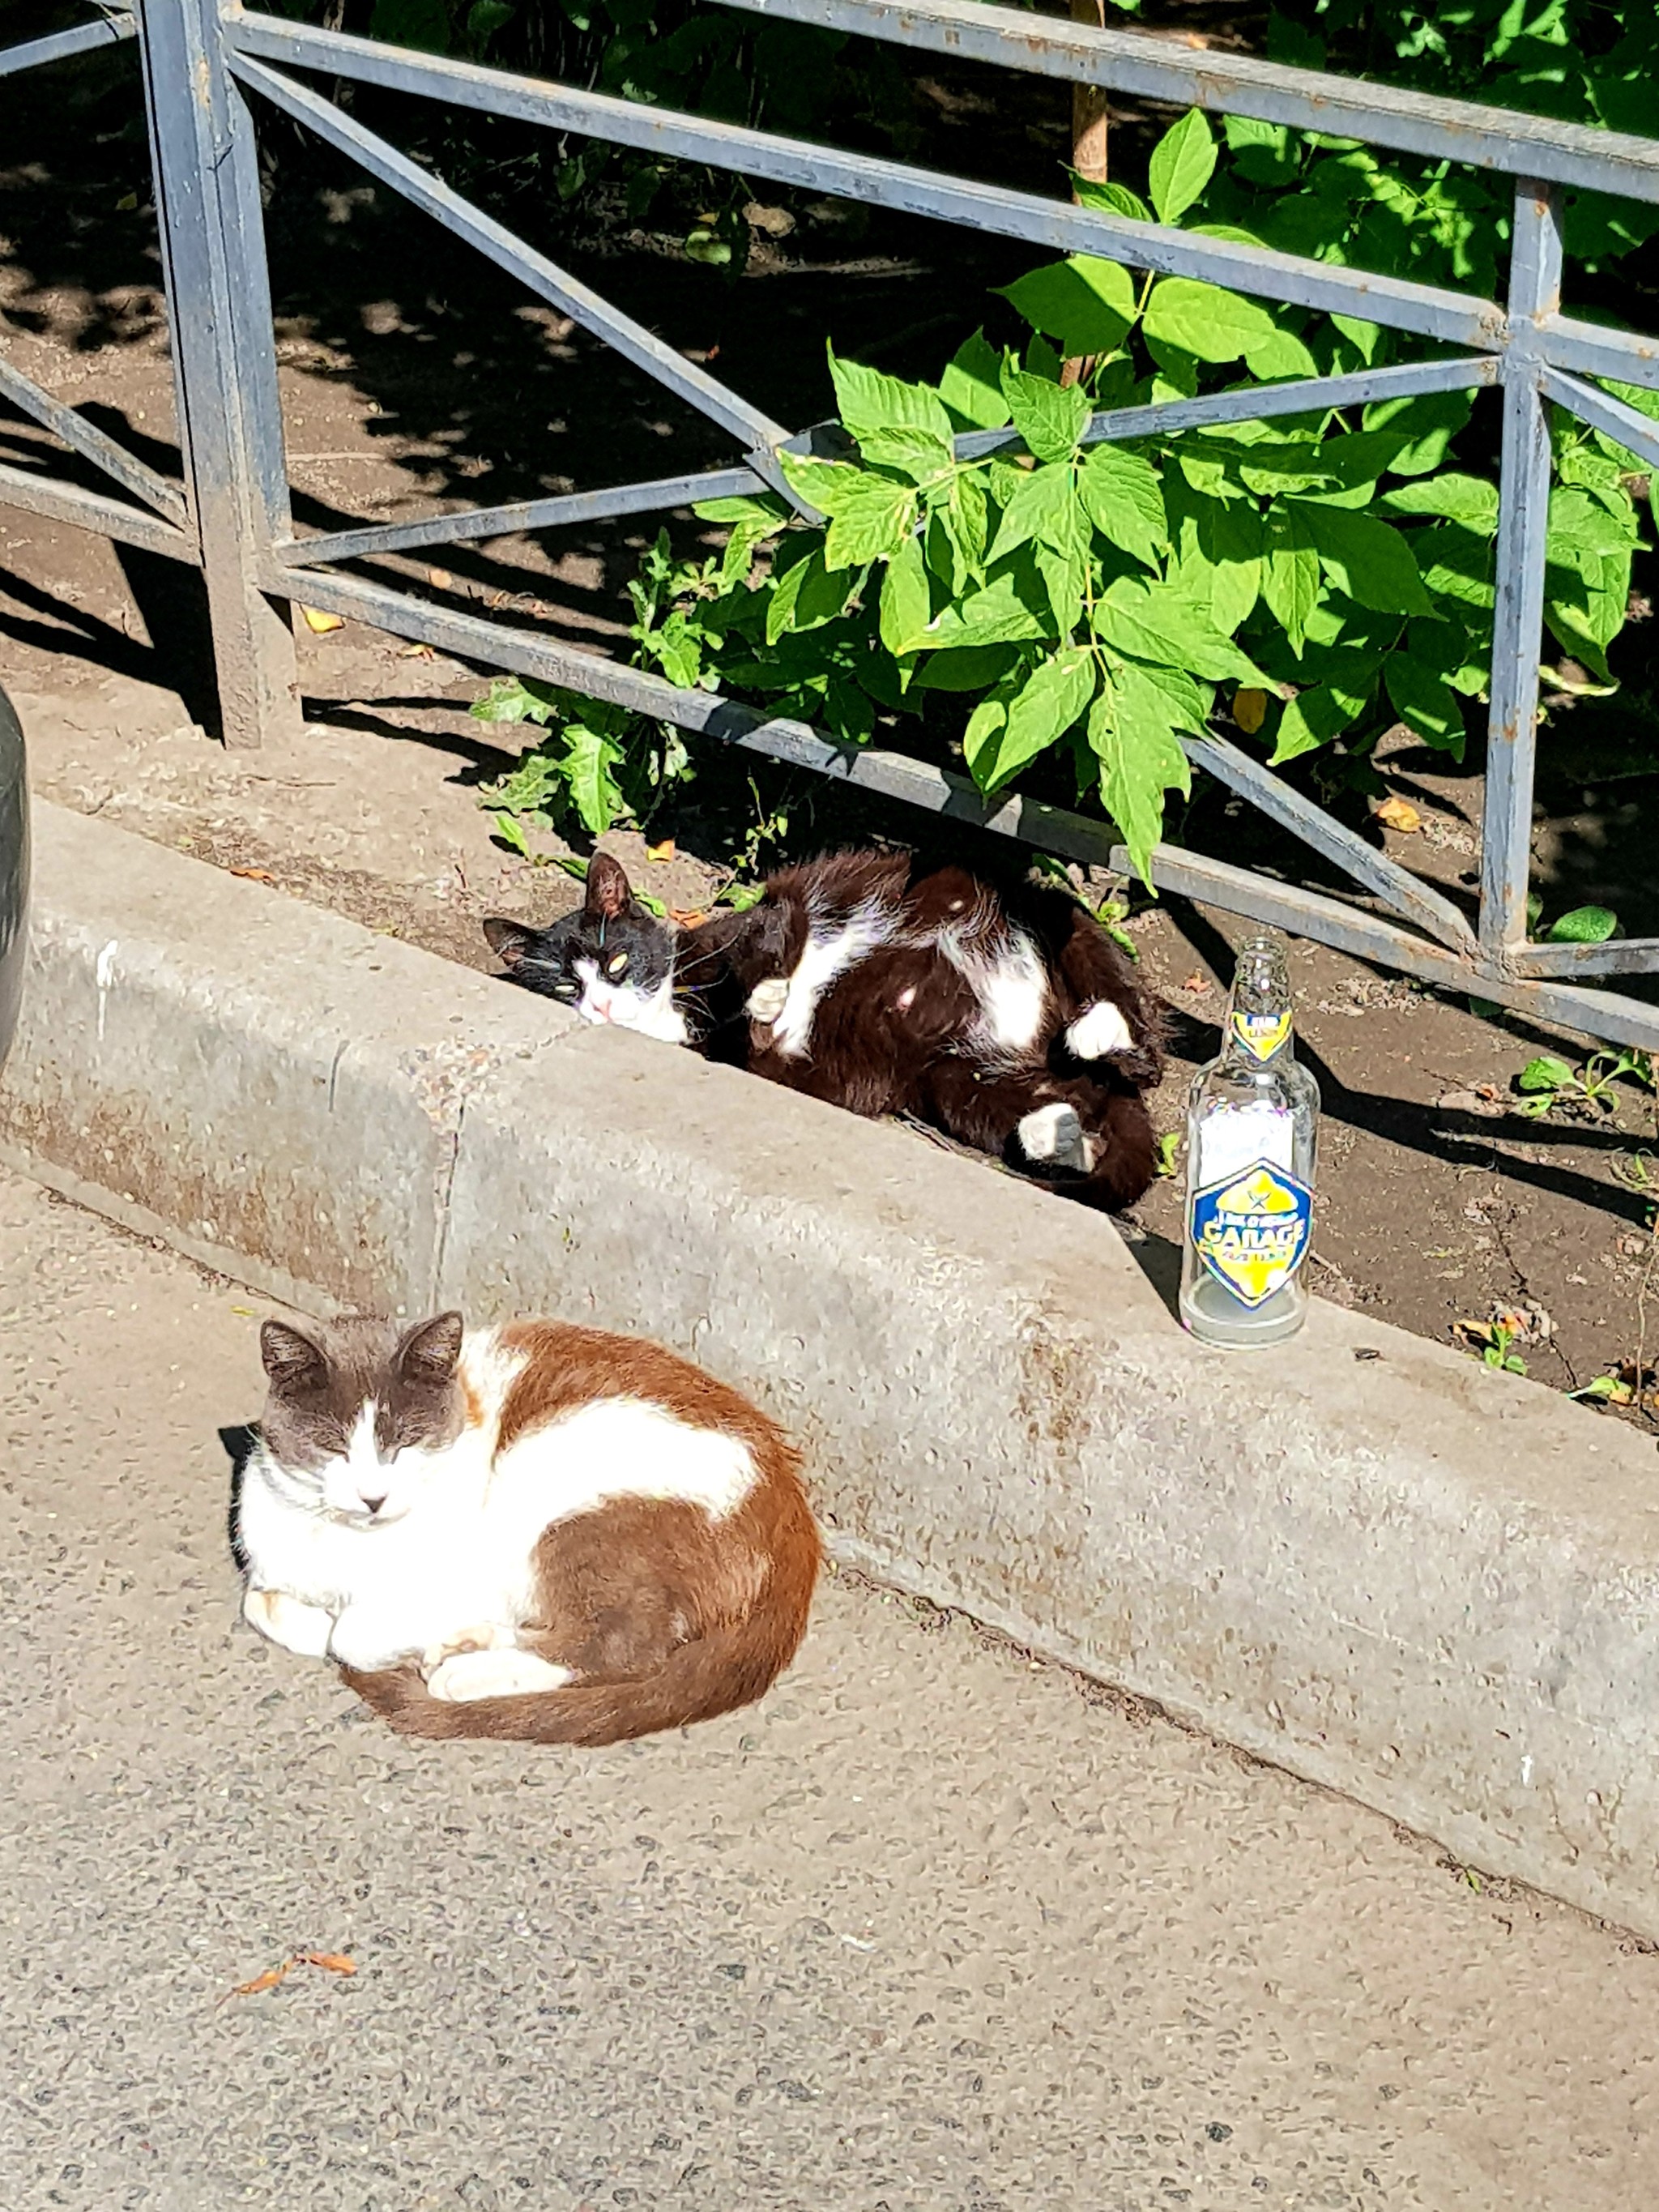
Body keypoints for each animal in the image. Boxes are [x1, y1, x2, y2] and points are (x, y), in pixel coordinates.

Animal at [237, 1300, 822, 1734]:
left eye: (403, 1443)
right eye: (333, 1446)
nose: (373, 1497)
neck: (338, 1544)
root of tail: (793, 1514)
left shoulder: (461, 1573)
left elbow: (351, 1636)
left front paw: (388, 1640)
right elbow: (260, 1603)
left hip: (554, 1481)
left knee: (625, 1644)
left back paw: (466, 1670)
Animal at [486, 840, 1176, 1212]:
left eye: (617, 962)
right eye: (567, 988)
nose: (601, 1009)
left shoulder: (768, 913)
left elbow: (764, 945)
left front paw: (767, 991)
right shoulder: (769, 1064)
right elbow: (751, 1043)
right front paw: (760, 1014)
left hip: (1061, 922)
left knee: (1136, 1034)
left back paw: (1101, 1033)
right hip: (955, 1081)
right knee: (1067, 1112)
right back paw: (1056, 1132)